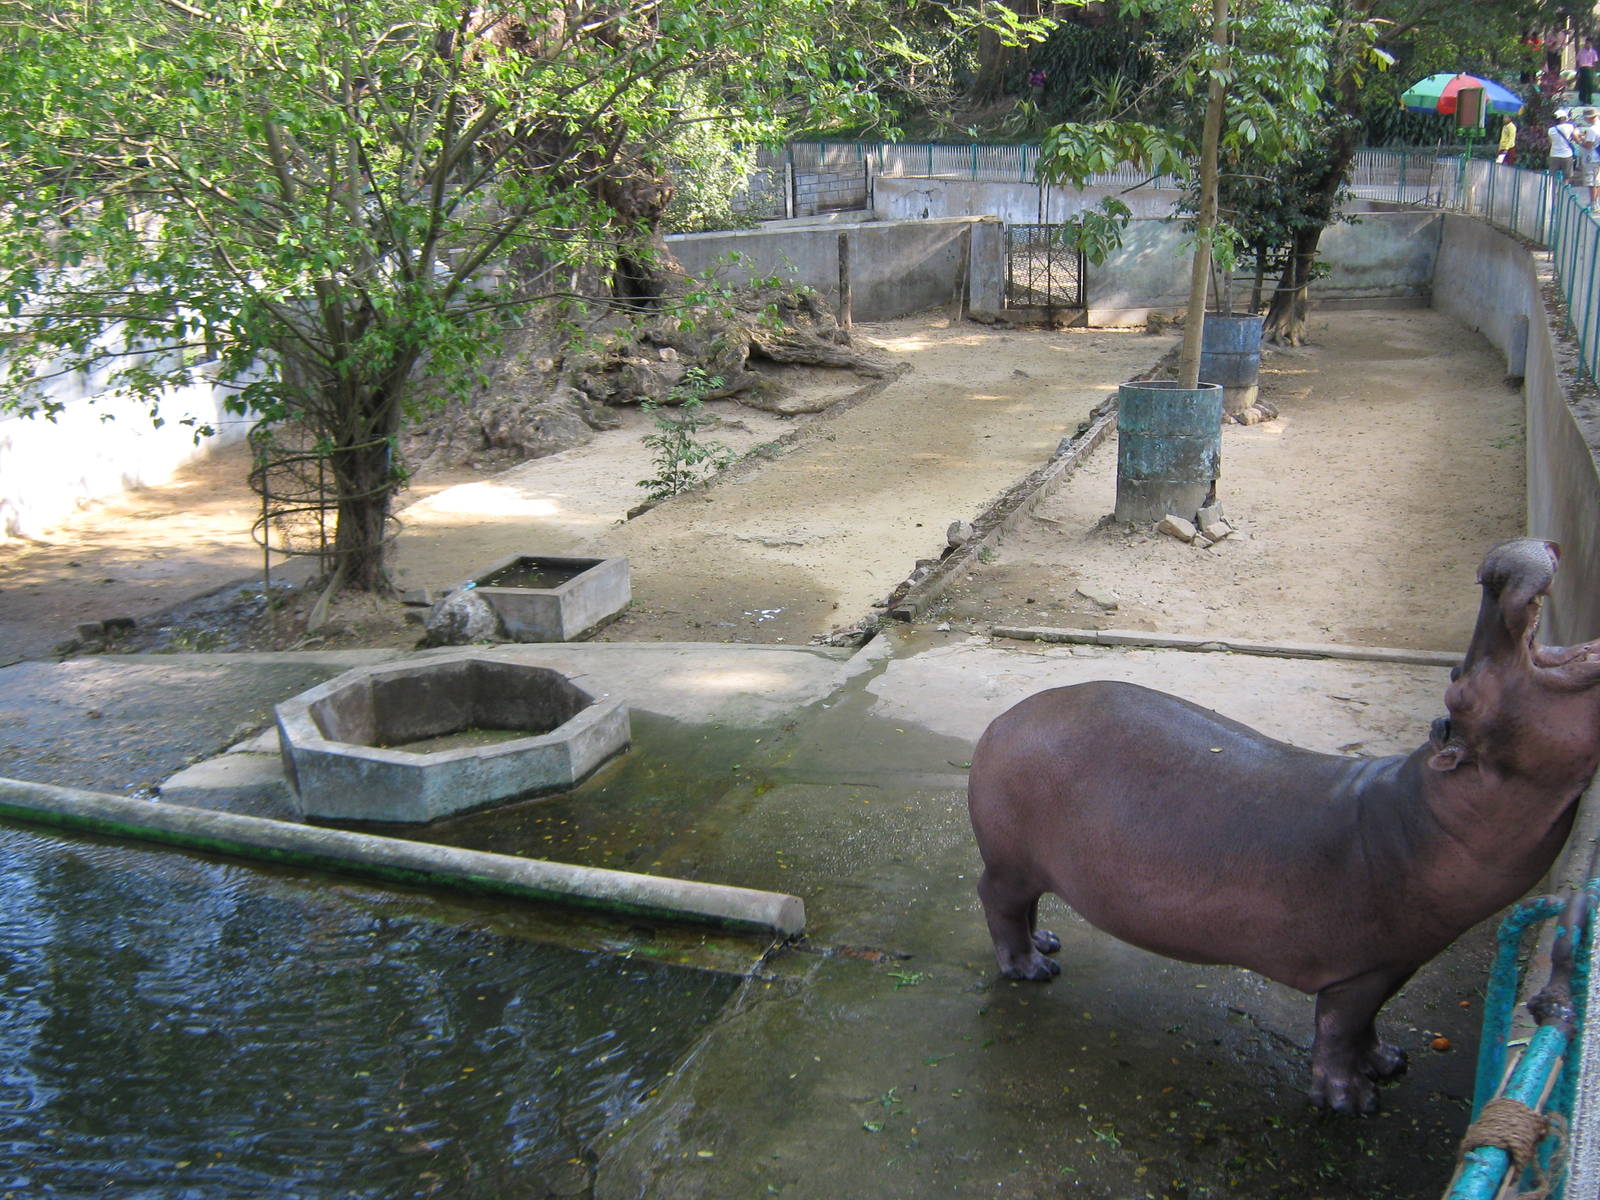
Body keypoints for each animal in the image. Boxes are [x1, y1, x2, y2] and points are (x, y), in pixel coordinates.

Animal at [966, 539, 1600, 1113]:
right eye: (1460, 688)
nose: (1494, 569)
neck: (1423, 811)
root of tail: (1002, 719)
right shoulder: (1361, 971)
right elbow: (1341, 1029)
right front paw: (1352, 1100)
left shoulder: (1398, 963)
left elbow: (1370, 1025)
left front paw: (1390, 1062)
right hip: (1011, 863)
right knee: (997, 902)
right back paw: (1032, 968)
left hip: (1032, 866)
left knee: (1027, 907)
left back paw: (1047, 942)